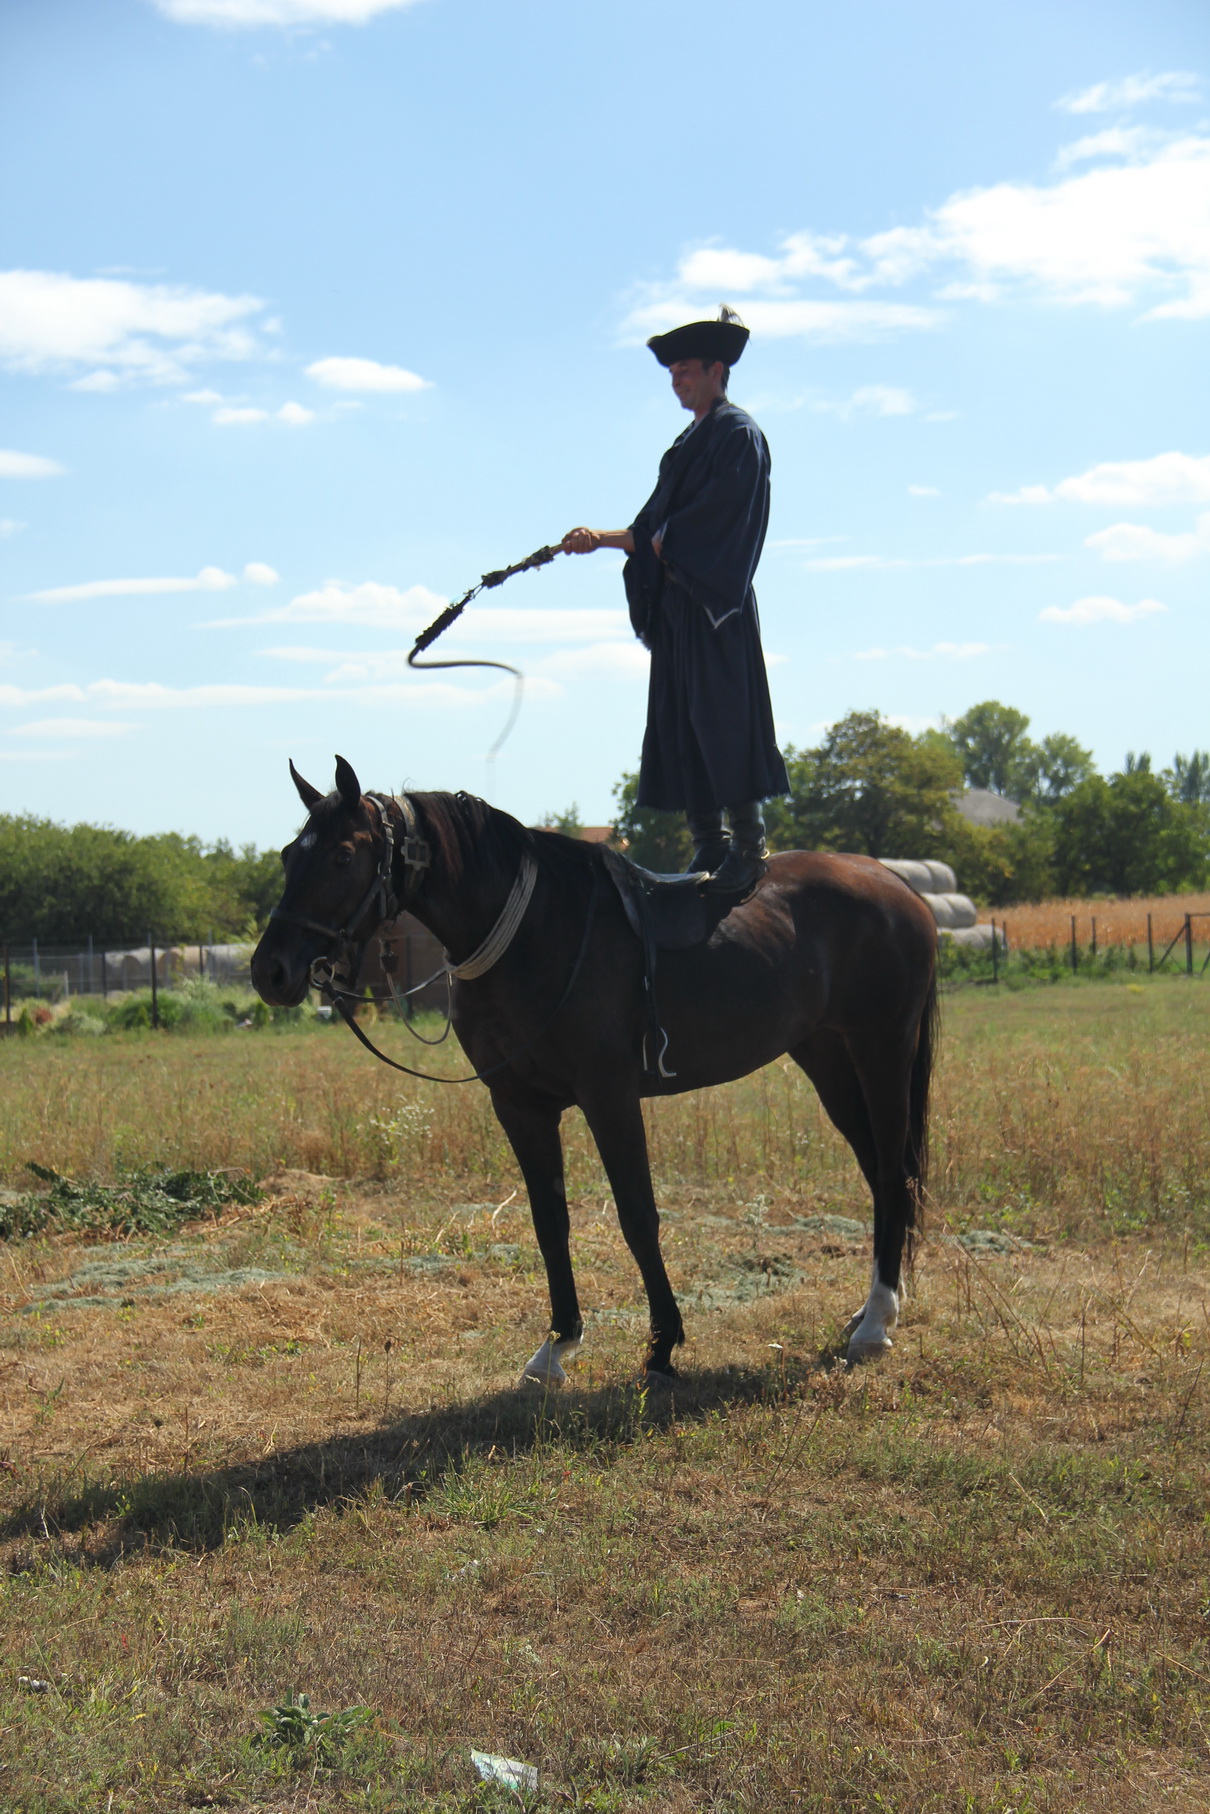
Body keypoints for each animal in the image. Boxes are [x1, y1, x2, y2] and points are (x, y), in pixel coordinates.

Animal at [251, 757, 939, 1384]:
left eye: (343, 856)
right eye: (287, 856)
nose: (271, 971)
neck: (532, 933)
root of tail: (897, 885)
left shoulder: (609, 1098)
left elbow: (638, 1216)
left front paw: (662, 1345)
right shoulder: (520, 1106)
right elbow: (549, 1222)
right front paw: (558, 1344)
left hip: (881, 1049)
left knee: (892, 1170)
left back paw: (877, 1323)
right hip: (826, 1056)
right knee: (879, 1173)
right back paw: (869, 1311)